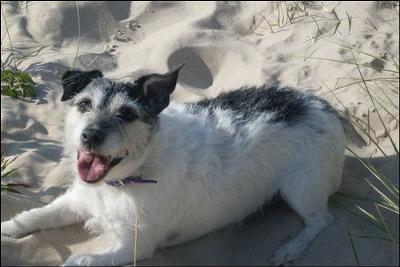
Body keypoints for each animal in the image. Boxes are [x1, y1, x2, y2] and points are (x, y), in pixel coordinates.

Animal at [0, 66, 362, 266]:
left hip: (301, 187)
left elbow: (80, 261)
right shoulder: (79, 200)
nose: (89, 135)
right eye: (83, 105)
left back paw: (290, 249)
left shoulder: (134, 246)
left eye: (127, 114)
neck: (129, 177)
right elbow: (37, 215)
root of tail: (322, 105)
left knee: (321, 219)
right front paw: (10, 227)